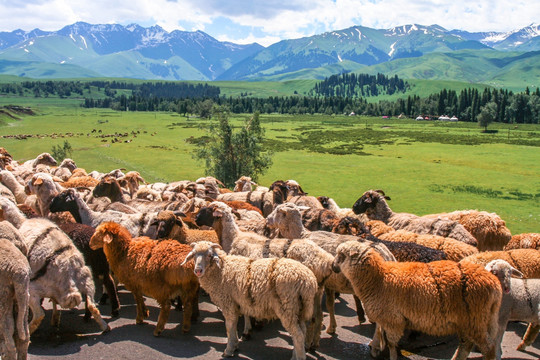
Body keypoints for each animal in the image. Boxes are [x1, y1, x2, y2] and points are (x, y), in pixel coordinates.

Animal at [182, 240, 316, 360]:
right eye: (194, 255)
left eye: (209, 255)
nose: (198, 270)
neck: (221, 271)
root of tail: (308, 281)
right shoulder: (235, 304)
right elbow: (233, 325)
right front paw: (235, 345)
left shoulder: (227, 303)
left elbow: (229, 326)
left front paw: (229, 350)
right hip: (299, 308)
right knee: (302, 331)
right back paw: (295, 355)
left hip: (288, 307)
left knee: (298, 335)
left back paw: (300, 357)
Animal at [334, 239, 502, 360]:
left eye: (341, 256)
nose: (334, 267)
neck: (377, 278)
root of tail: (495, 285)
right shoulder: (386, 318)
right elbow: (382, 336)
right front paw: (375, 347)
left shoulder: (393, 319)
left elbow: (392, 344)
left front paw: (390, 355)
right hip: (468, 322)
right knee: (465, 346)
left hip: (476, 320)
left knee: (489, 348)